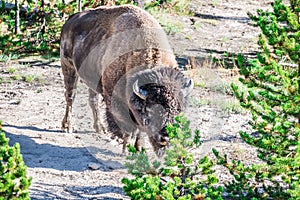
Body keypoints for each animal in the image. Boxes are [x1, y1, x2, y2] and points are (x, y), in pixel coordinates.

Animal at [59, 4, 193, 155]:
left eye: (178, 111)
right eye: (151, 111)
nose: (165, 138)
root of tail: (71, 19)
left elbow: (139, 130)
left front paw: (139, 148)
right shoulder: (117, 99)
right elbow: (127, 127)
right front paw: (126, 149)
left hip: (91, 78)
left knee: (93, 100)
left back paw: (100, 128)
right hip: (68, 66)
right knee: (70, 96)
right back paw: (68, 127)